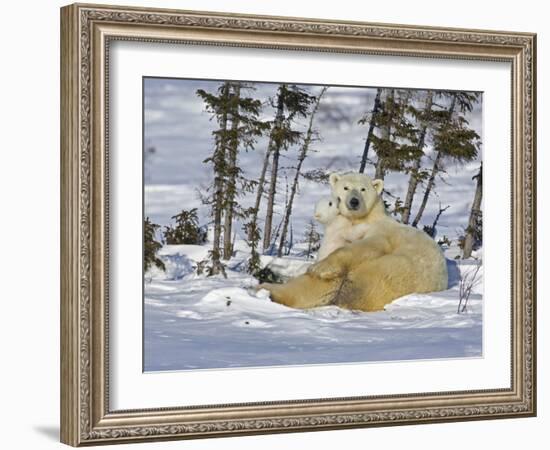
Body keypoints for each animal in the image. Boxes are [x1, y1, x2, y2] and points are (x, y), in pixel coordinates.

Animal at [260, 171, 450, 312]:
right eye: (346, 187)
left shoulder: (380, 231)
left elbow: (364, 246)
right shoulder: (340, 230)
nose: (354, 201)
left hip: (393, 271)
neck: (358, 220)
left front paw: (319, 268)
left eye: (363, 189)